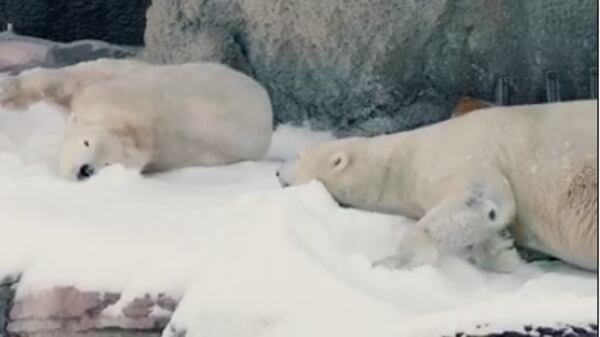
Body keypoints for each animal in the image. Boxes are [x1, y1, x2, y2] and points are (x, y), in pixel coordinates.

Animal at [0, 58, 274, 178]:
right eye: (87, 143)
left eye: (109, 164)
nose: (86, 170)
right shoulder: (111, 81)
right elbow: (63, 80)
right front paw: (7, 92)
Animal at [278, 99, 596, 270]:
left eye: (299, 156)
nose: (278, 173)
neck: (405, 155)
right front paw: (504, 252)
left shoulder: (463, 151)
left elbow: (483, 199)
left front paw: (391, 262)